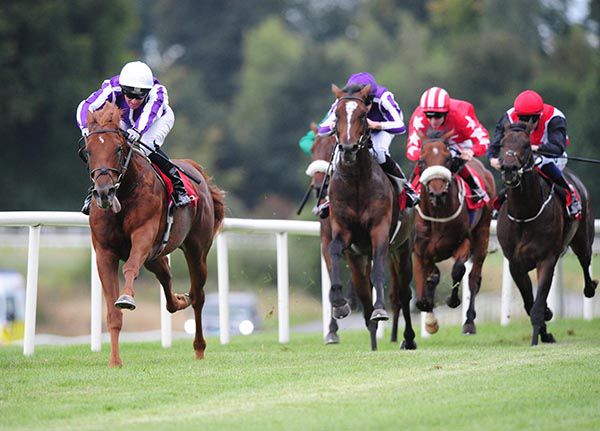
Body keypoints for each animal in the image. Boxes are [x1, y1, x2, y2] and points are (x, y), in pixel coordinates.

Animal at [82, 102, 225, 368]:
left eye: (119, 148)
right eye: (89, 151)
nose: (104, 192)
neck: (124, 193)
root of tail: (194, 167)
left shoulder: (143, 236)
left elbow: (130, 268)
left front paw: (126, 297)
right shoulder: (105, 252)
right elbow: (113, 313)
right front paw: (115, 361)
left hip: (196, 250)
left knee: (198, 296)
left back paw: (199, 348)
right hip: (155, 255)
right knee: (166, 277)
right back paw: (179, 300)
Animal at [326, 83, 414, 352]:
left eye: (363, 115)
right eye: (336, 115)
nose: (348, 149)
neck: (356, 180)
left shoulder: (380, 230)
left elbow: (379, 273)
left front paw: (380, 311)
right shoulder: (343, 231)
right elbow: (334, 250)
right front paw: (339, 303)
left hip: (403, 249)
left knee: (403, 293)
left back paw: (408, 338)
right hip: (357, 259)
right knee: (364, 293)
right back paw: (373, 342)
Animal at [414, 130, 494, 336]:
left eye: (448, 159)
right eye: (421, 161)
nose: (437, 193)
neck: (437, 217)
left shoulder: (463, 241)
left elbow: (458, 270)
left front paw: (453, 300)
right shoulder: (419, 250)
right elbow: (426, 284)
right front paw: (430, 320)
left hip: (483, 234)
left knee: (473, 278)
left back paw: (469, 322)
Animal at [496, 123, 596, 346]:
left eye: (526, 144)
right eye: (502, 143)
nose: (509, 169)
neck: (524, 215)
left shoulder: (546, 259)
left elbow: (537, 305)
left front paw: (537, 338)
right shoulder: (515, 264)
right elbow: (529, 303)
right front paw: (545, 329)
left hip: (583, 239)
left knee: (585, 261)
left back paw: (591, 287)